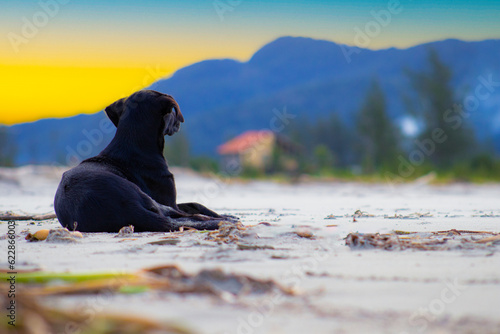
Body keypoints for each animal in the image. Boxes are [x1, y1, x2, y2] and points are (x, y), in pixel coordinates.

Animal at [53, 90, 237, 234]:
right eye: (172, 113)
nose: (178, 123)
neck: (133, 143)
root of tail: (127, 210)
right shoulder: (169, 201)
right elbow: (195, 205)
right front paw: (225, 216)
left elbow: (193, 204)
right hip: (153, 202)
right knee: (188, 217)